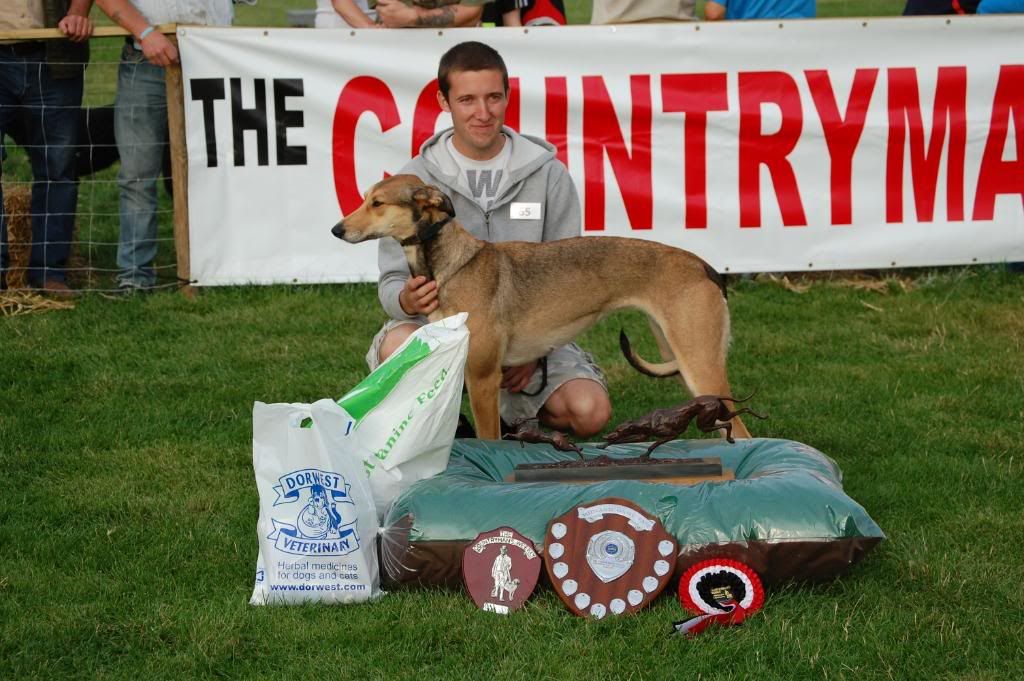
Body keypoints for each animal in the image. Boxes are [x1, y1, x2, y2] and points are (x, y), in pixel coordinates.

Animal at [329, 174, 753, 440]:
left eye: (377, 203)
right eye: (365, 198)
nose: (336, 230)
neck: (454, 264)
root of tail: (705, 266)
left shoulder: (482, 379)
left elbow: (490, 441)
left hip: (700, 365)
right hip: (679, 357)